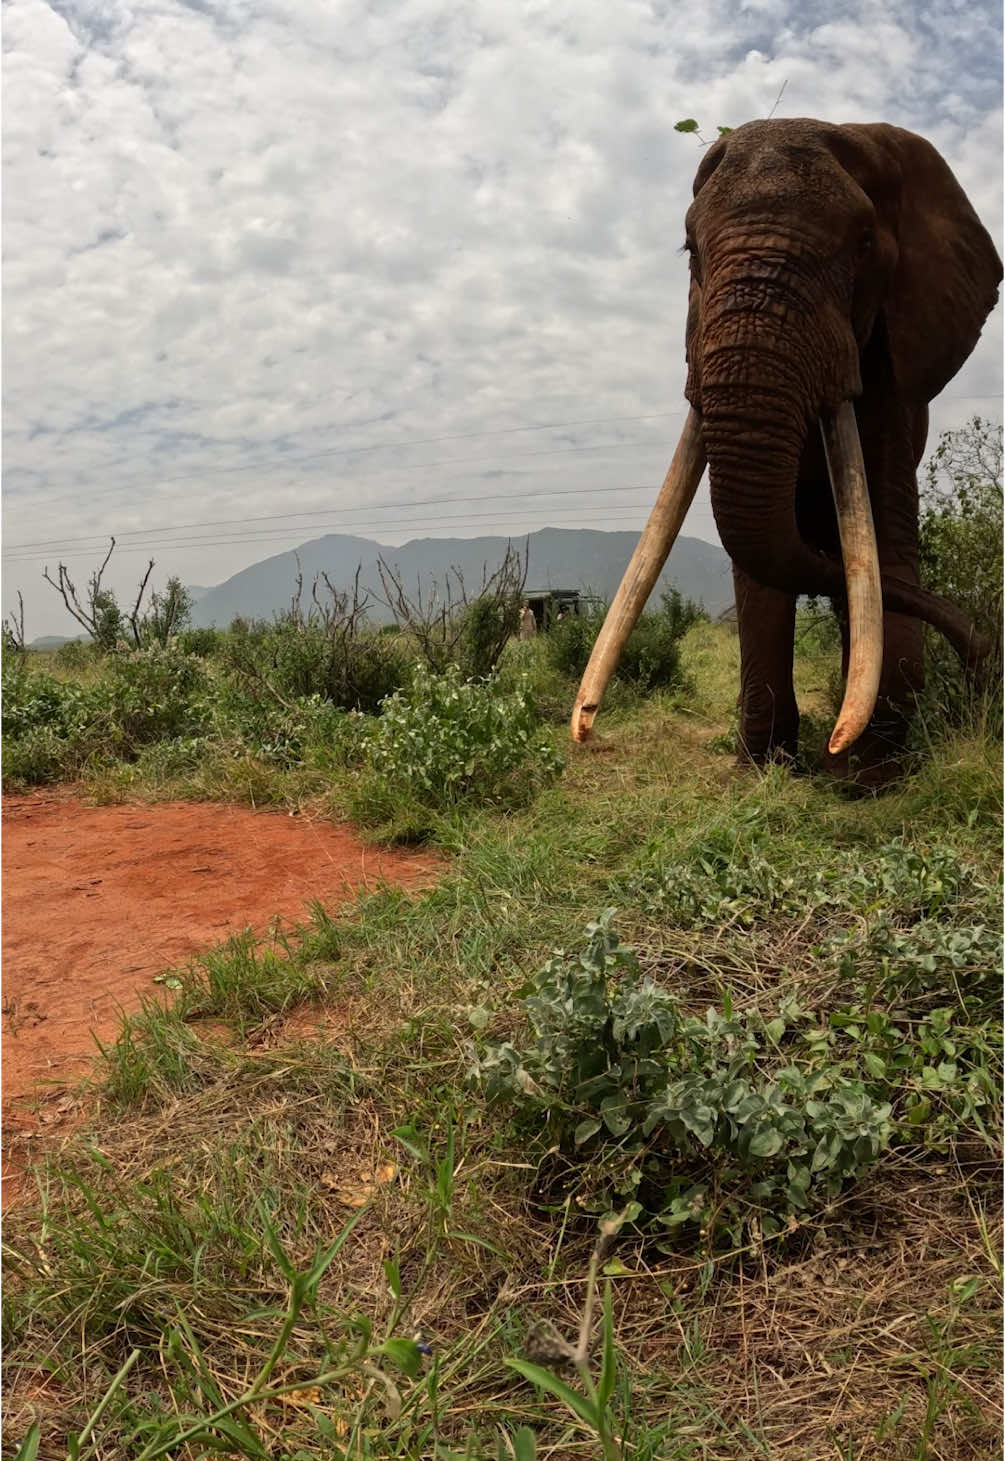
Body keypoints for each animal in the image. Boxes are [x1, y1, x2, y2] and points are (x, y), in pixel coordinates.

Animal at [569, 122, 999, 788]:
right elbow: (761, 576)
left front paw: (867, 780)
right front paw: (762, 770)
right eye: (689, 250)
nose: (983, 651)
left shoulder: (890, 380)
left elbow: (885, 541)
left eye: (865, 242)